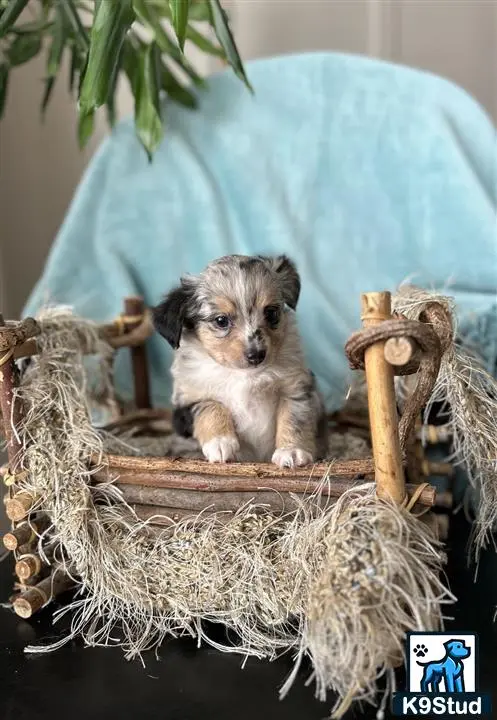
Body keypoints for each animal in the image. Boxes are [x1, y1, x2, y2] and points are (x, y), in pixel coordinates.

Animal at [153, 253, 328, 466]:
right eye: (221, 321)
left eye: (271, 313)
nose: (257, 354)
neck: (243, 374)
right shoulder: (189, 399)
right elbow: (211, 407)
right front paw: (220, 442)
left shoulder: (295, 387)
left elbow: (294, 418)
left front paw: (292, 451)